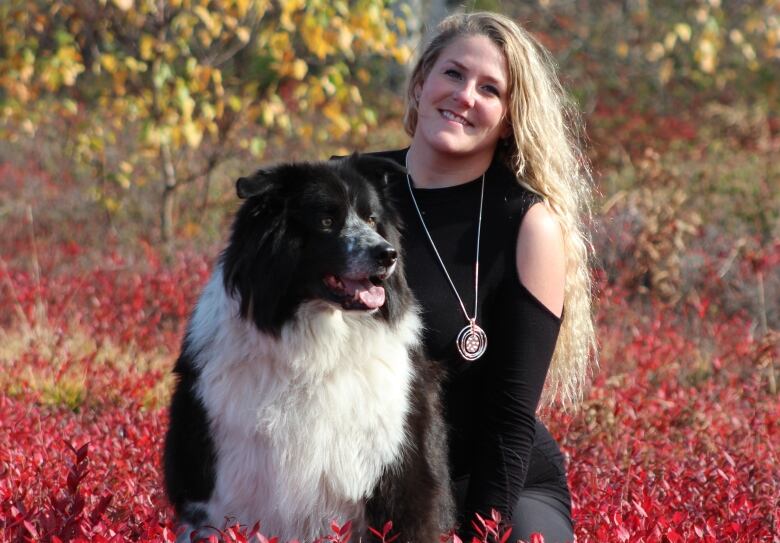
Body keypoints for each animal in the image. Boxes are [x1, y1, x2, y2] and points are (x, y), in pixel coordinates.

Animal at [166, 154, 458, 543]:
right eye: (326, 221)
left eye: (371, 219)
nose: (387, 254)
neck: (318, 348)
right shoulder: (218, 491)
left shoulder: (399, 478)